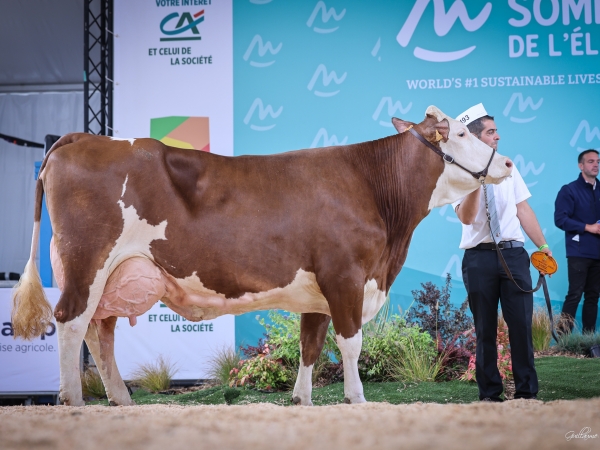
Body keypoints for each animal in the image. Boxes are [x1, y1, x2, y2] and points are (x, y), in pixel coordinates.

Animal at [11, 105, 512, 404]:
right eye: (462, 132)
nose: (507, 162)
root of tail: (85, 137)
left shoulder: (319, 291)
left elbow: (310, 345)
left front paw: (302, 399)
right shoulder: (346, 275)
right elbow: (350, 343)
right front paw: (357, 398)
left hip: (114, 275)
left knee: (101, 332)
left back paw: (120, 398)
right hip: (87, 262)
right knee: (72, 322)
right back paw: (73, 399)